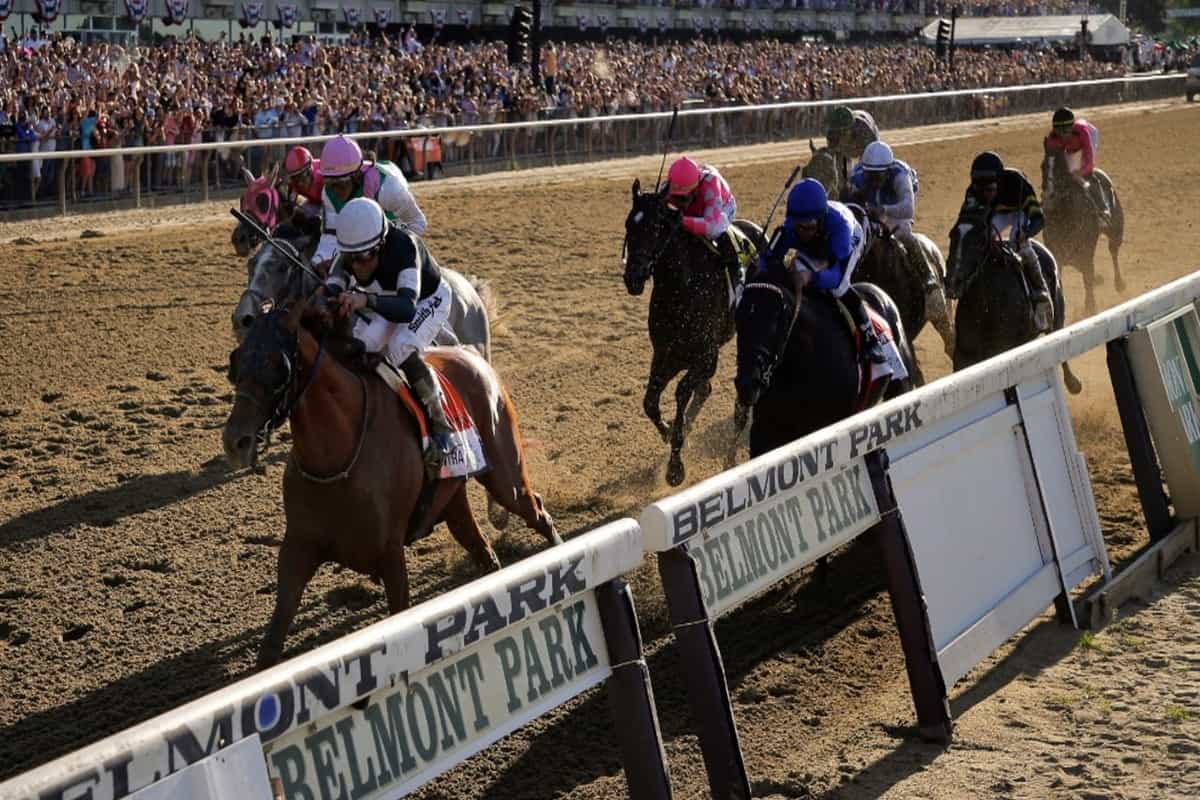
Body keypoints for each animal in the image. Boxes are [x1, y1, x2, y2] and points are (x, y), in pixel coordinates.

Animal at [222, 303, 561, 668]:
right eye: (237, 361)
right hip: (454, 501)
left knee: (536, 511)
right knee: (483, 550)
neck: (338, 455)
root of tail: (472, 356)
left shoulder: (390, 554)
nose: (235, 442)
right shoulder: (298, 549)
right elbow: (272, 644)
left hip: (505, 479)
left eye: (278, 364)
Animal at [623, 177, 763, 486]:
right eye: (628, 225)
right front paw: (668, 430)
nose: (632, 278)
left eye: (654, 227)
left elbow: (682, 391)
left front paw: (675, 467)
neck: (681, 289)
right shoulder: (666, 354)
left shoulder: (705, 356)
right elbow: (650, 401)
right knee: (704, 390)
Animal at [946, 209, 1082, 394]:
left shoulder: (1005, 352)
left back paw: (1073, 383)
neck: (986, 308)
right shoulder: (964, 355)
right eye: (952, 236)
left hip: (1057, 316)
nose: (953, 281)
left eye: (979, 242)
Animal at [1040, 148, 1125, 315]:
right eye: (1043, 167)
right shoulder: (1056, 252)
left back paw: (1119, 284)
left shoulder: (1086, 249)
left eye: (1060, 169)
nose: (1048, 197)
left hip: (1116, 231)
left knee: (1113, 253)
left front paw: (1091, 307)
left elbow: (1087, 275)